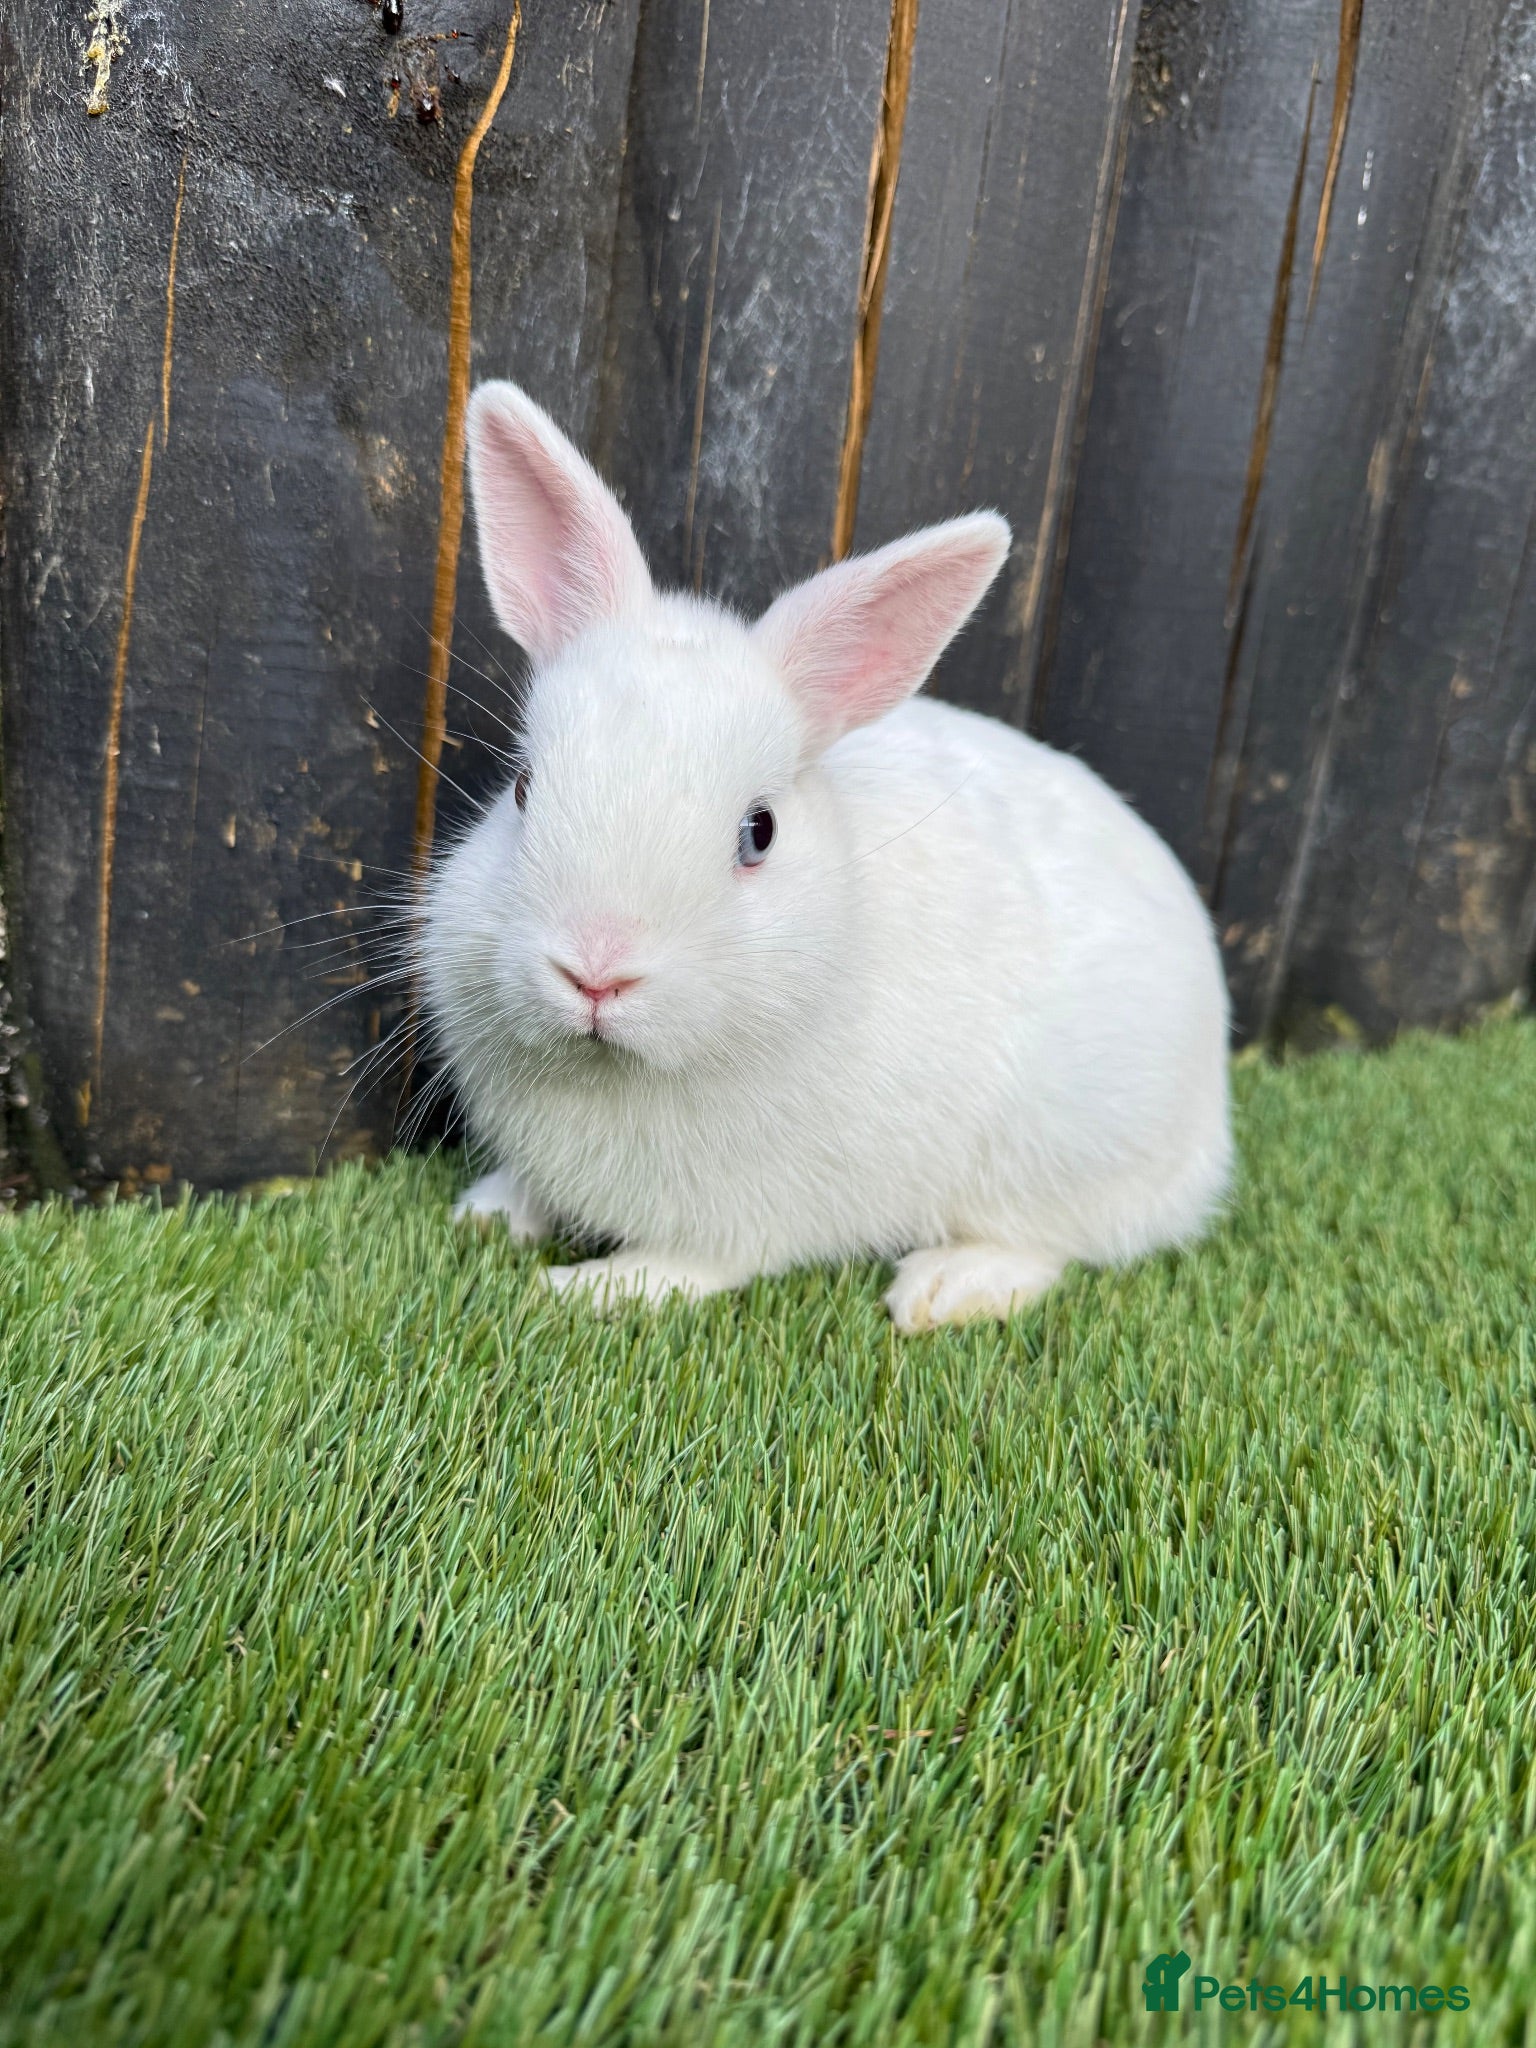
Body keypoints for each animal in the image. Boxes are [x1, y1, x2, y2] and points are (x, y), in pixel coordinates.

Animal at [419, 379, 1232, 1331]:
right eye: (522, 789)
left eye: (759, 832)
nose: (596, 971)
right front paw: (490, 1211)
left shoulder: (742, 1218)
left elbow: (689, 1267)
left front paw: (586, 1289)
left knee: (1055, 1245)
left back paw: (946, 1288)